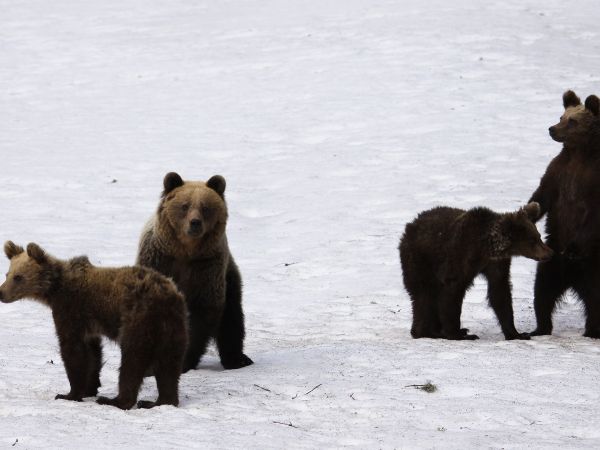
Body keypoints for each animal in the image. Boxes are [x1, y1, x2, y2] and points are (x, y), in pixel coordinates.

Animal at [0, 241, 188, 410]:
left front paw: (69, 394)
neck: (54, 289)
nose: (1, 293)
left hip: (138, 319)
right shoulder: (89, 325)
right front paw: (89, 388)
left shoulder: (71, 309)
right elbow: (93, 353)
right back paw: (160, 401)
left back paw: (116, 401)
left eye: (18, 277)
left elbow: (72, 350)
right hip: (172, 327)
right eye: (7, 274)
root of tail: (167, 296)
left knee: (132, 360)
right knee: (169, 365)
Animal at [137, 172, 252, 372]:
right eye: (185, 206)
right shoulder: (159, 261)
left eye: (205, 207)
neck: (185, 251)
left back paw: (237, 359)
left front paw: (183, 361)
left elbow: (201, 314)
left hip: (229, 278)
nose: (195, 223)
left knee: (232, 317)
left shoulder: (206, 268)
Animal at [398, 202, 552, 340]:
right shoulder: (459, 257)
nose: (550, 253)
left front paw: (517, 334)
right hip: (420, 261)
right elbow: (452, 294)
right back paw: (427, 332)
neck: (485, 248)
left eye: (538, 236)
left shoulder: (496, 264)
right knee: (424, 296)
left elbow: (500, 292)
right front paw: (457, 334)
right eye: (533, 240)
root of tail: (410, 226)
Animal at [528, 91, 600, 336]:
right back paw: (540, 328)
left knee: (596, 299)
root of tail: (573, 280)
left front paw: (573, 248)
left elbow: (592, 217)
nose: (552, 129)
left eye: (572, 121)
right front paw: (529, 213)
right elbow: (542, 196)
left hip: (593, 265)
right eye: (562, 116)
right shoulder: (558, 173)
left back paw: (592, 331)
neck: (579, 154)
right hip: (551, 262)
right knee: (542, 292)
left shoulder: (592, 181)